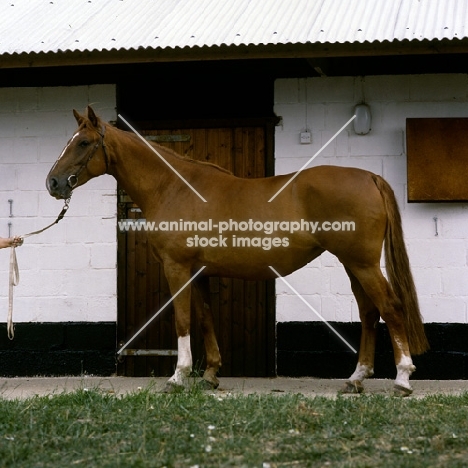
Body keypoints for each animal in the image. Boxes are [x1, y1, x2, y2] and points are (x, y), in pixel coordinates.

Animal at [46, 109, 428, 394]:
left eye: (82, 143)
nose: (52, 182)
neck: (173, 188)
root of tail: (369, 177)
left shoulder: (176, 267)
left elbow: (183, 319)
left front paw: (178, 376)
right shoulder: (198, 271)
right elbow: (205, 318)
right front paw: (210, 374)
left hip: (362, 263)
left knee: (391, 308)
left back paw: (403, 378)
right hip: (354, 265)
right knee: (369, 313)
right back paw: (356, 378)